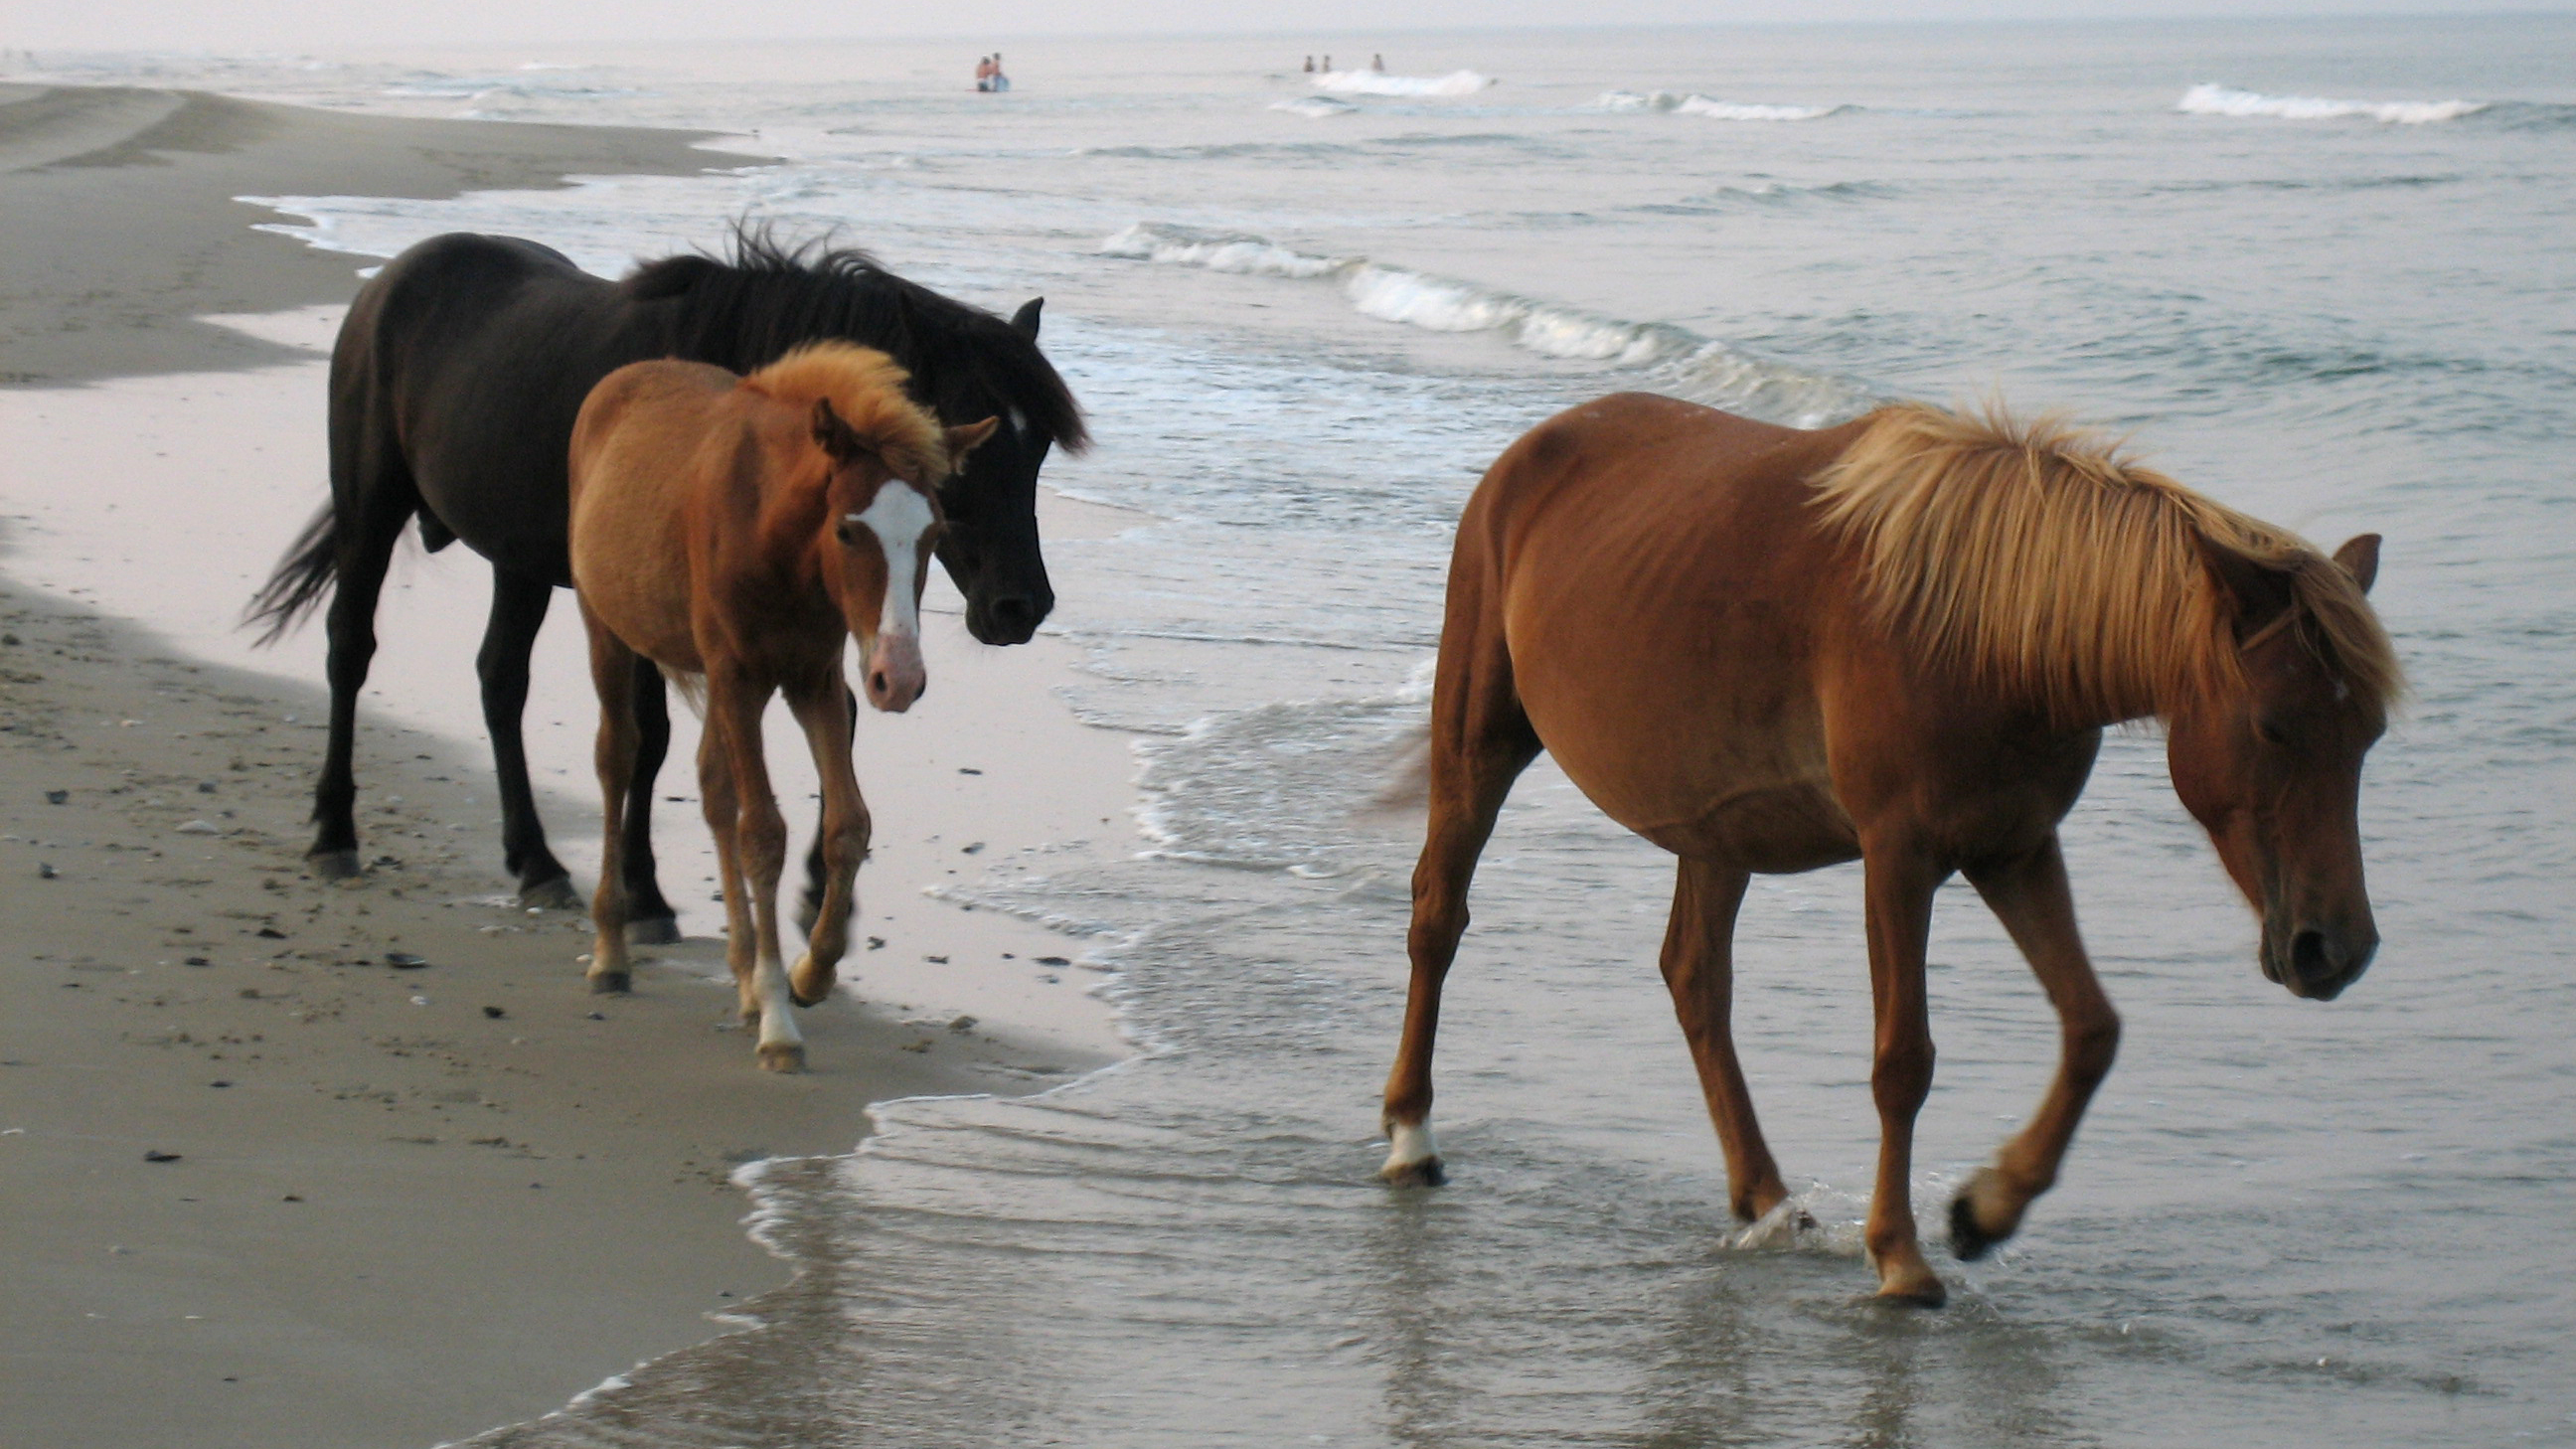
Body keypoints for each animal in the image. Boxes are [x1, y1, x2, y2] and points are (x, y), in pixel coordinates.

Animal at [242, 226, 1086, 938]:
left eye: (1038, 448)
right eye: (962, 454)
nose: (1021, 606)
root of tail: (392, 280)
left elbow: (836, 713)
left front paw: (823, 891)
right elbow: (651, 737)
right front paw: (645, 894)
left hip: (516, 558)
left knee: (500, 681)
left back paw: (536, 860)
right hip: (370, 508)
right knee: (351, 649)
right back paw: (335, 832)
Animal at [566, 335, 994, 1061]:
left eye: (935, 533)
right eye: (848, 531)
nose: (899, 677)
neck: (773, 536)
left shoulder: (809, 677)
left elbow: (847, 824)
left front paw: (808, 975)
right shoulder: (737, 674)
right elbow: (763, 833)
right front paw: (777, 1020)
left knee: (713, 788)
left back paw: (739, 975)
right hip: (609, 631)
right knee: (617, 759)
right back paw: (611, 952)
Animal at [1380, 392, 2400, 1299]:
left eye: (2369, 736)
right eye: (2273, 728)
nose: (2336, 950)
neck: (1993, 635)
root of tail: (1532, 451)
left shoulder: (2014, 847)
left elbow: (2092, 1030)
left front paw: (1987, 1210)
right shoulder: (1899, 857)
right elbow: (1903, 1061)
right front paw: (1902, 1257)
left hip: (1716, 825)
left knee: (1696, 978)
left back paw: (1764, 1194)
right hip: (1478, 744)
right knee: (1438, 917)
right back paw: (1409, 1138)